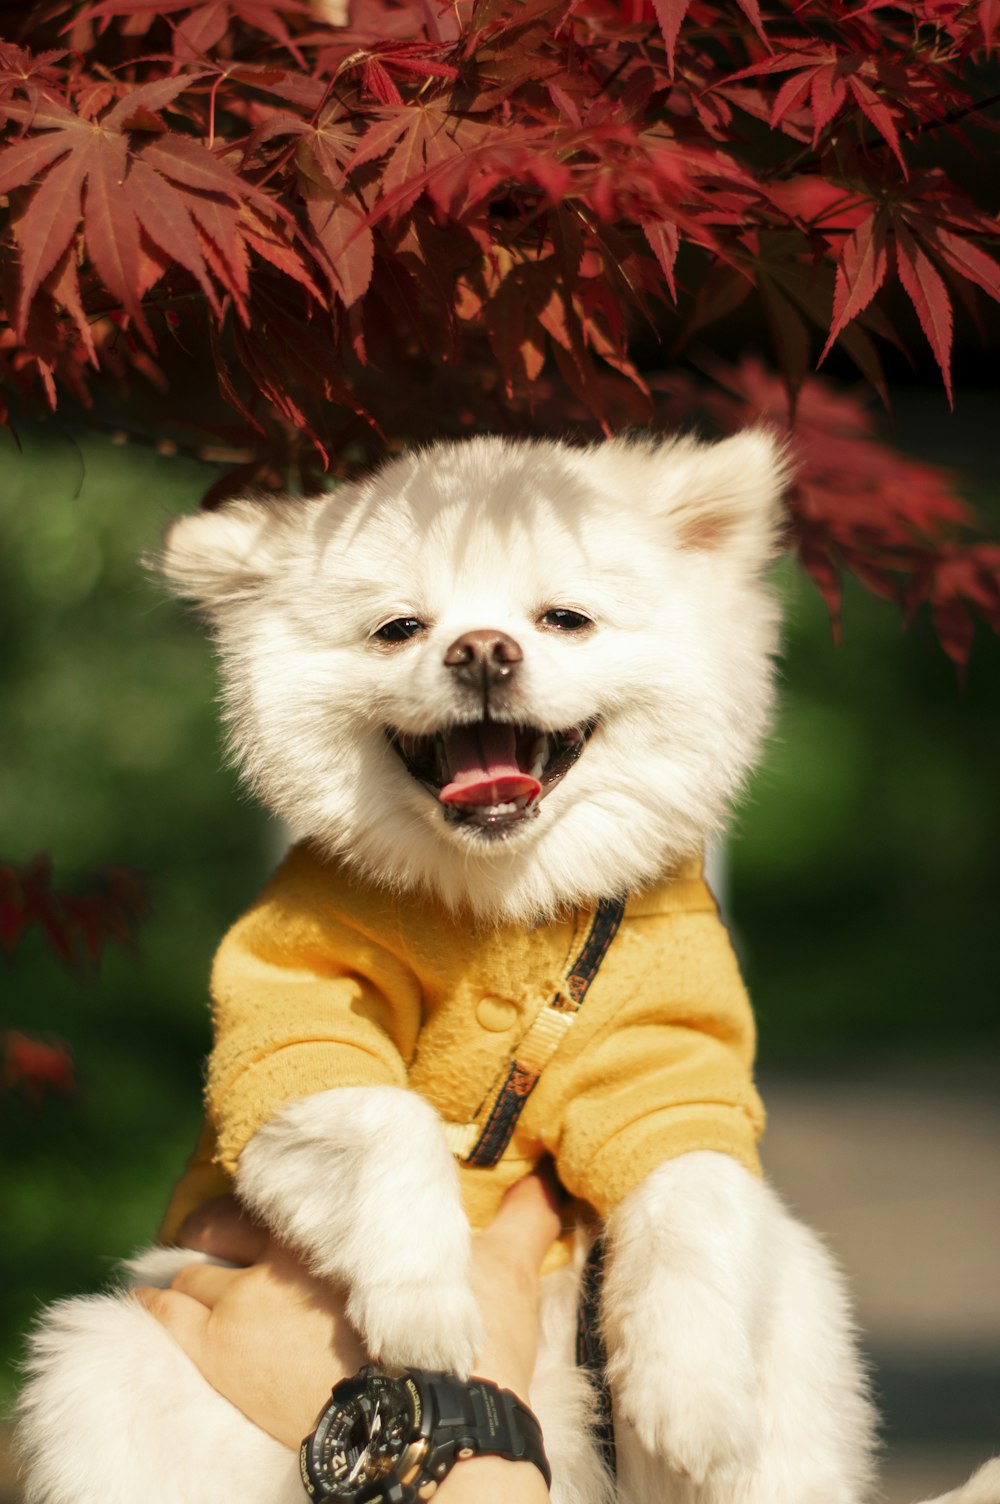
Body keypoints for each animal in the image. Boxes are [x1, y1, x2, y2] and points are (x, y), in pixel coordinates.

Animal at [17, 433, 998, 1504]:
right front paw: (426, 1309)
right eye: (399, 629)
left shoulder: (674, 1076)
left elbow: (691, 1205)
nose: (482, 648)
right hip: (106, 1363)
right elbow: (388, 1126)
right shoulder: (290, 1038)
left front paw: (690, 1400)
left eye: (563, 618)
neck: (504, 903)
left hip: (800, 1311)